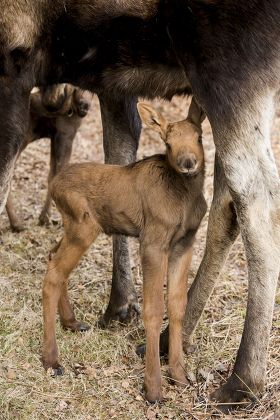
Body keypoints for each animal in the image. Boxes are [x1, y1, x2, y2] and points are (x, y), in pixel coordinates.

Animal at [5, 84, 90, 231]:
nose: (84, 105)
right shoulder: (66, 133)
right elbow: (60, 173)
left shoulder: (55, 137)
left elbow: (51, 175)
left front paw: (44, 218)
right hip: (21, 139)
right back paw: (17, 223)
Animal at [42, 99, 207, 404]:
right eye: (168, 143)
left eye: (199, 137)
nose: (188, 163)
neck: (186, 197)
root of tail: (54, 184)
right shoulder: (152, 241)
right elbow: (153, 309)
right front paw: (153, 388)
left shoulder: (184, 243)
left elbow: (177, 305)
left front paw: (179, 376)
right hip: (83, 227)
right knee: (54, 273)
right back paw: (51, 360)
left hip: (71, 227)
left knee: (52, 257)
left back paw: (71, 322)